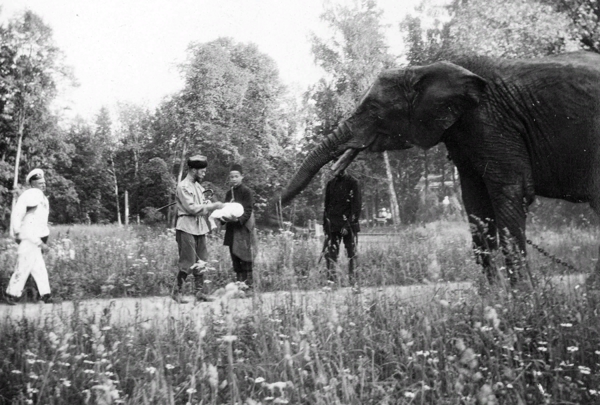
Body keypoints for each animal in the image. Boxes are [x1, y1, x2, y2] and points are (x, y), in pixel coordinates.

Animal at [278, 50, 600, 284]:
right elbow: (476, 205)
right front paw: (492, 299)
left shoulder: (492, 122)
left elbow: (510, 192)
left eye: (374, 111)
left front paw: (523, 300)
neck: (424, 70)